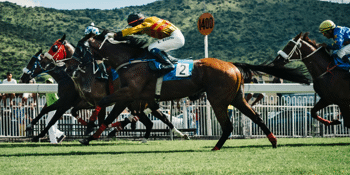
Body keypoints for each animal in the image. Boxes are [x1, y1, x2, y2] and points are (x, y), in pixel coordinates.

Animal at [78, 30, 310, 150]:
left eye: (81, 48)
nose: (77, 65)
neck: (131, 60)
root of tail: (233, 65)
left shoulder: (128, 94)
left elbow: (104, 107)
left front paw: (88, 132)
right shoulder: (133, 98)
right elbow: (112, 115)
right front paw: (90, 135)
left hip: (217, 99)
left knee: (228, 125)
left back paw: (216, 146)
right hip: (236, 98)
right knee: (256, 117)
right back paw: (273, 140)